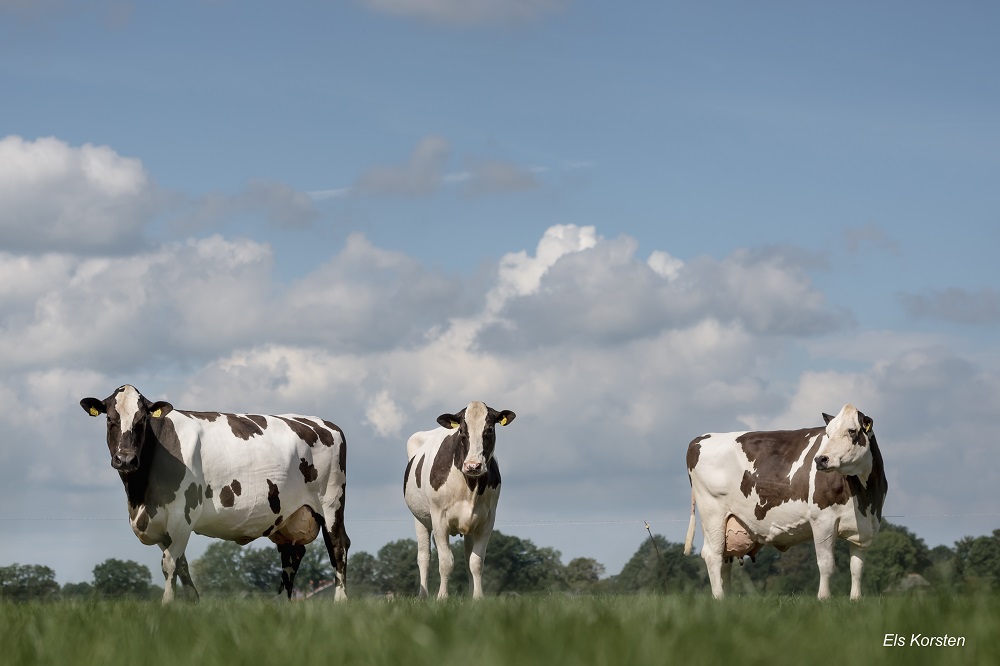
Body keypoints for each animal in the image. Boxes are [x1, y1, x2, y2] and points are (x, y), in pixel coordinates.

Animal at [81, 384, 352, 600]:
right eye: (110, 419)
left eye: (141, 421)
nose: (125, 459)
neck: (139, 497)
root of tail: (327, 424)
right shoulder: (161, 527)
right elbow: (182, 566)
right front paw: (192, 603)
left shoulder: (182, 517)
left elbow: (169, 564)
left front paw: (167, 606)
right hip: (288, 519)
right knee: (292, 557)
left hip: (331, 504)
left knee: (338, 548)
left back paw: (340, 603)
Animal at [402, 402, 516, 600]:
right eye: (462, 430)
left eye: (489, 429)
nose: (473, 466)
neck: (470, 486)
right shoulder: (439, 519)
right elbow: (446, 561)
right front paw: (442, 597)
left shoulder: (487, 521)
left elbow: (475, 562)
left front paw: (478, 598)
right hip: (420, 519)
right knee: (424, 557)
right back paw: (422, 596)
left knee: (466, 555)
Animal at [684, 402, 888, 600]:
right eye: (828, 433)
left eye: (852, 430)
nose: (821, 459)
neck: (864, 496)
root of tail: (701, 438)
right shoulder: (823, 520)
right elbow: (826, 564)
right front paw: (823, 598)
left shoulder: (865, 527)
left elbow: (857, 569)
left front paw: (856, 599)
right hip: (712, 513)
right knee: (714, 555)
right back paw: (719, 598)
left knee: (725, 560)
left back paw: (726, 601)